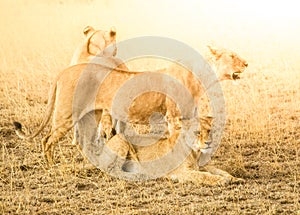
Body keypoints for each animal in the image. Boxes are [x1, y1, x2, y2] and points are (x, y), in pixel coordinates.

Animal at [12, 47, 247, 165]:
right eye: (232, 56)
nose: (246, 63)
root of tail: (64, 71)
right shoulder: (173, 116)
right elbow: (175, 140)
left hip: (91, 115)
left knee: (82, 141)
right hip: (66, 113)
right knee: (47, 140)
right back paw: (52, 168)